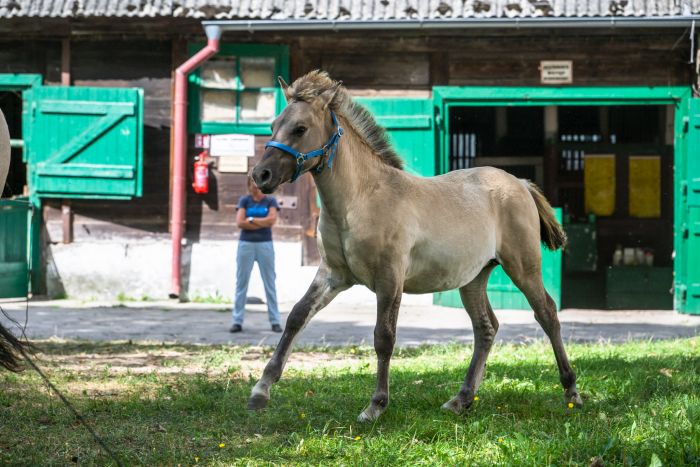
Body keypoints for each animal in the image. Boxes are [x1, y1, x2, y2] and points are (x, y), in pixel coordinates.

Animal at [246, 70, 580, 424]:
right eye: (272, 126)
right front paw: (260, 391)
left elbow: (384, 336)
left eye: (300, 128)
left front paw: (375, 406)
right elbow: (297, 316)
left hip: (523, 266)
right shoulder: (333, 274)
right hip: (474, 278)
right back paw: (461, 399)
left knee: (547, 313)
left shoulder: (389, 278)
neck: (361, 198)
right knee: (486, 327)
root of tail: (521, 184)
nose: (260, 175)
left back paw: (571, 391)